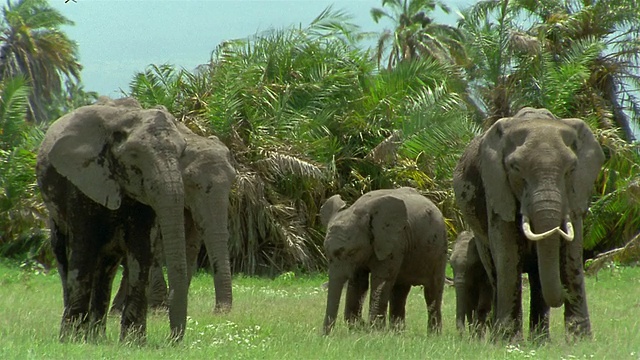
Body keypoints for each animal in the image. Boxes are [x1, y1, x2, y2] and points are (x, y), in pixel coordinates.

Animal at [35, 97, 235, 342]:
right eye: (134, 156)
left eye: (180, 154)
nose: (172, 339)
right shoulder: (82, 181)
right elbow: (85, 247)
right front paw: (72, 340)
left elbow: (146, 248)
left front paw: (133, 342)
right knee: (66, 253)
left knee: (107, 267)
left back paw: (97, 336)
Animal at [322, 187, 448, 336]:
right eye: (326, 253)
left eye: (352, 252)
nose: (324, 336)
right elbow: (359, 282)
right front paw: (360, 328)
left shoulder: (394, 243)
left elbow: (380, 280)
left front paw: (374, 331)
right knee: (399, 293)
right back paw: (397, 333)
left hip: (439, 248)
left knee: (432, 291)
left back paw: (433, 335)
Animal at [452, 106, 604, 340]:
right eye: (515, 168)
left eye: (571, 168)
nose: (563, 295)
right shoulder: (496, 187)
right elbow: (507, 253)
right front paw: (508, 341)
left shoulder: (577, 190)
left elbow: (572, 251)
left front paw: (580, 341)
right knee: (495, 272)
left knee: (537, 277)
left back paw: (541, 341)